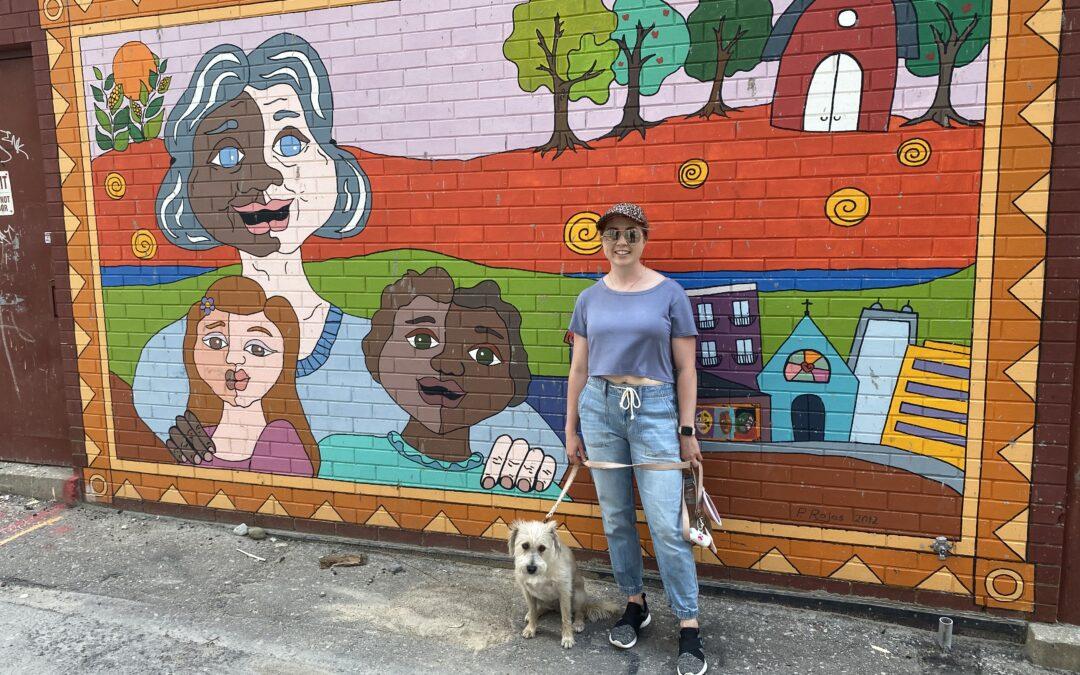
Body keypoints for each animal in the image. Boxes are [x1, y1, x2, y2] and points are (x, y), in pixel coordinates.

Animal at [509, 520, 620, 648]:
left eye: (542, 548)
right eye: (525, 546)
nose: (531, 568)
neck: (545, 566)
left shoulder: (564, 592)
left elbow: (566, 618)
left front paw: (567, 638)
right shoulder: (527, 591)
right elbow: (532, 611)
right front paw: (531, 628)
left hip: (578, 596)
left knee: (580, 612)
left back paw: (578, 623)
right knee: (542, 608)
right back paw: (536, 613)